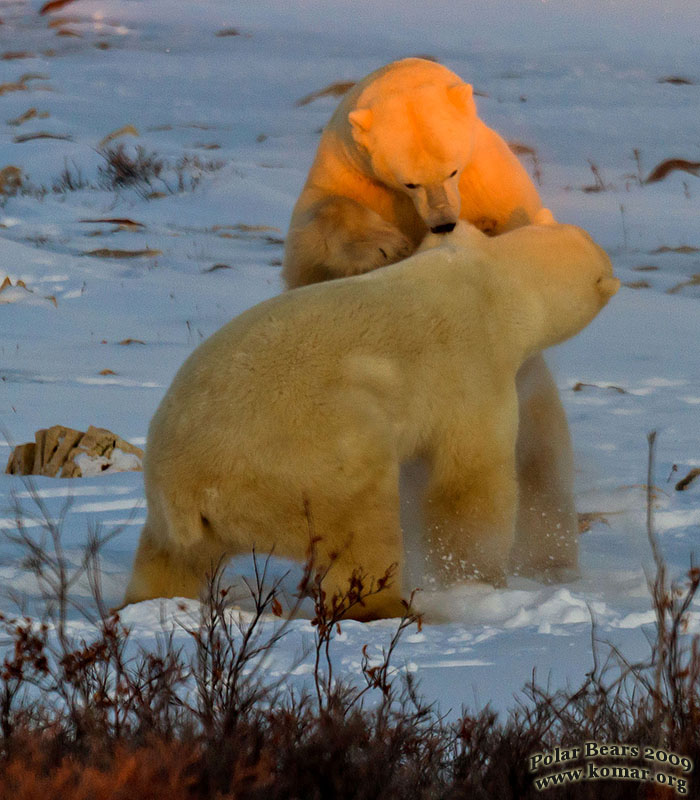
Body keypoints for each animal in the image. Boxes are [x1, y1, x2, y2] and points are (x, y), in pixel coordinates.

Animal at [126, 222, 616, 620]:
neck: (494, 280)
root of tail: (190, 488)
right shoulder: (476, 366)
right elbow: (470, 484)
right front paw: (476, 580)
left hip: (175, 501)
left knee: (172, 558)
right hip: (311, 459)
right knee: (361, 523)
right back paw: (390, 607)